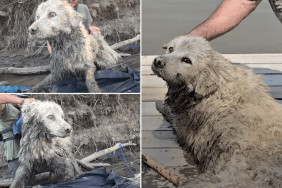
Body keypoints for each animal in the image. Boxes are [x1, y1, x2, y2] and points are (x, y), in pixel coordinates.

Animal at [153, 36, 282, 187]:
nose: (158, 61)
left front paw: (160, 104)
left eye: (186, 60)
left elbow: (169, 113)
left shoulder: (184, 126)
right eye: (171, 49)